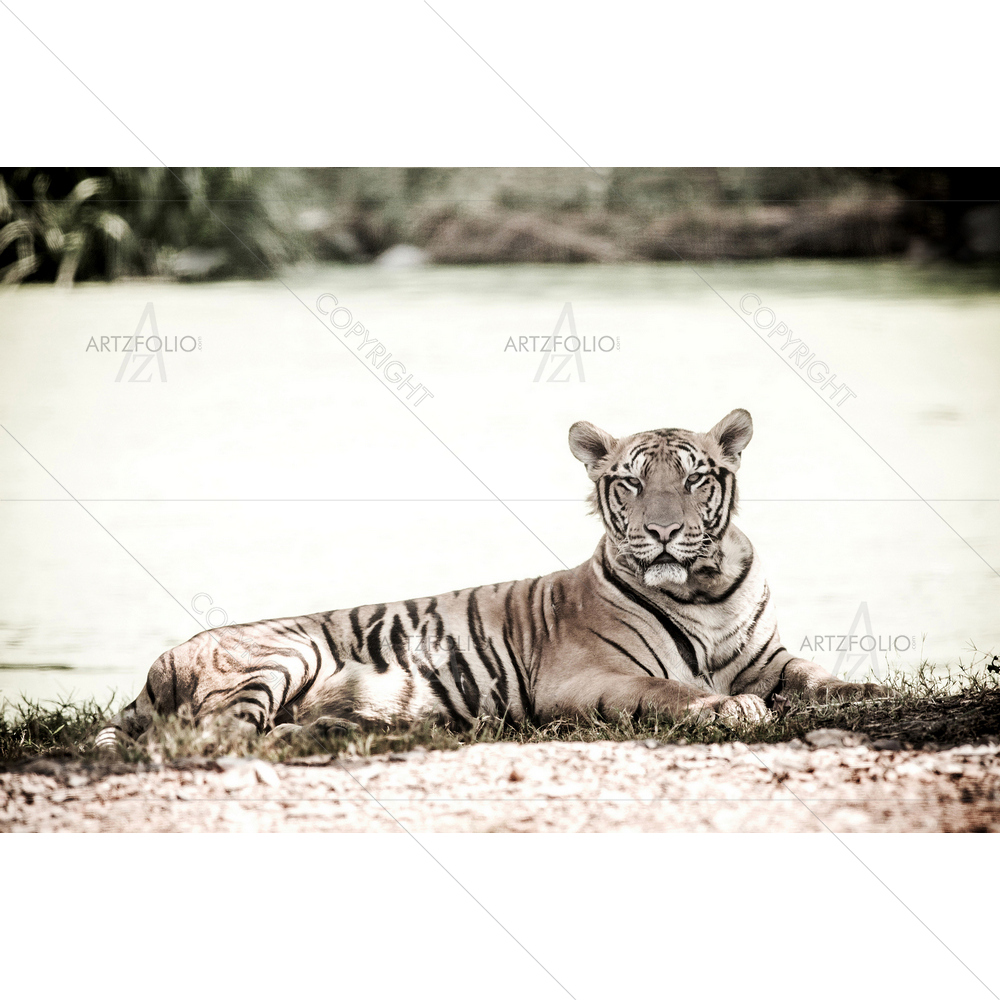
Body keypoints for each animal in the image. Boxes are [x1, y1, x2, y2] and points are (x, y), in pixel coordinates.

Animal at [96, 408, 884, 756]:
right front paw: (727, 709)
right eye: (632, 482)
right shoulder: (582, 678)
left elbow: (820, 677)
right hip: (283, 653)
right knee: (214, 732)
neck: (702, 590)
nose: (661, 531)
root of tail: (160, 662)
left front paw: (869, 690)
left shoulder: (769, 658)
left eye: (692, 478)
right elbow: (668, 691)